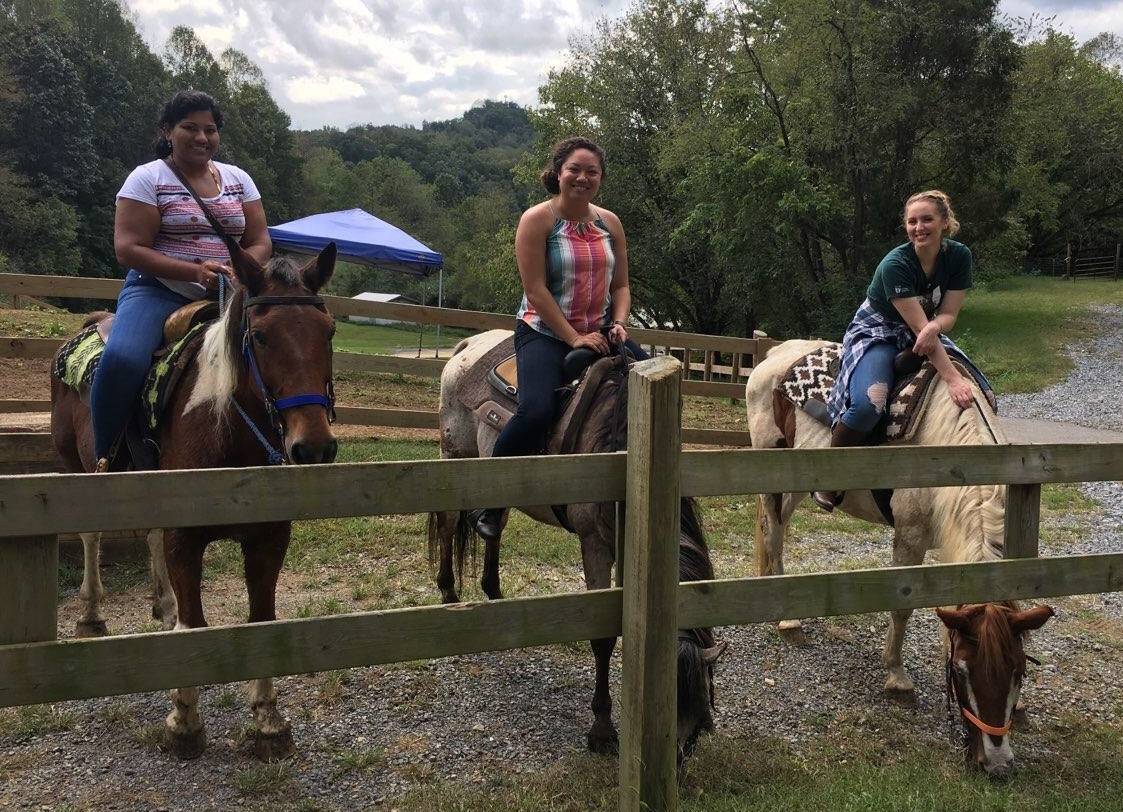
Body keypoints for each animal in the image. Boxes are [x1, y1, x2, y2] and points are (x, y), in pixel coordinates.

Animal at [50, 242, 336, 763]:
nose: (313, 447)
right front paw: (184, 722)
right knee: (91, 533)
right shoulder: (187, 537)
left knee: (150, 535)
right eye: (260, 336)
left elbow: (262, 620)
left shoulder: (269, 538)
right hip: (79, 469)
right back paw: (91, 616)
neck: (225, 426)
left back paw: (162, 608)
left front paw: (268, 722)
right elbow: (197, 624)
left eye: (328, 332)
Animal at [428, 327, 727, 763]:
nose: (673, 759)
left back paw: (494, 593)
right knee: (449, 523)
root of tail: (469, 345)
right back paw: (449, 593)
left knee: (494, 526)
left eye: (696, 715)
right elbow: (603, 639)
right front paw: (602, 731)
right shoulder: (595, 545)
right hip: (455, 455)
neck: (622, 448)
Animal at [745, 339, 1051, 777]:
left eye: (1019, 671)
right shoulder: (910, 535)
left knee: (779, 530)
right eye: (961, 670)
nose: (996, 763)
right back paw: (788, 621)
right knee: (772, 530)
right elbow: (902, 607)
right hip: (771, 467)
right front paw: (897, 678)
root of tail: (773, 354)